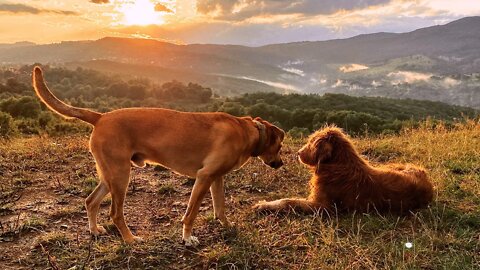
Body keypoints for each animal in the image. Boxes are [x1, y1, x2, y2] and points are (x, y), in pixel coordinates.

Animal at [32, 66, 284, 246]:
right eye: (281, 146)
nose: (281, 164)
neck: (250, 131)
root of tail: (101, 117)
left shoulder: (216, 178)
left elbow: (220, 207)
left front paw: (227, 225)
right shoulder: (204, 177)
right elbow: (191, 214)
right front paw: (187, 238)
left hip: (109, 176)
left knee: (90, 201)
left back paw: (94, 230)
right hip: (121, 176)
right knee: (115, 213)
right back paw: (130, 240)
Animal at [253, 127, 434, 215]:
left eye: (312, 142)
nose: (298, 153)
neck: (339, 163)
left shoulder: (323, 207)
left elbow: (290, 201)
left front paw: (264, 205)